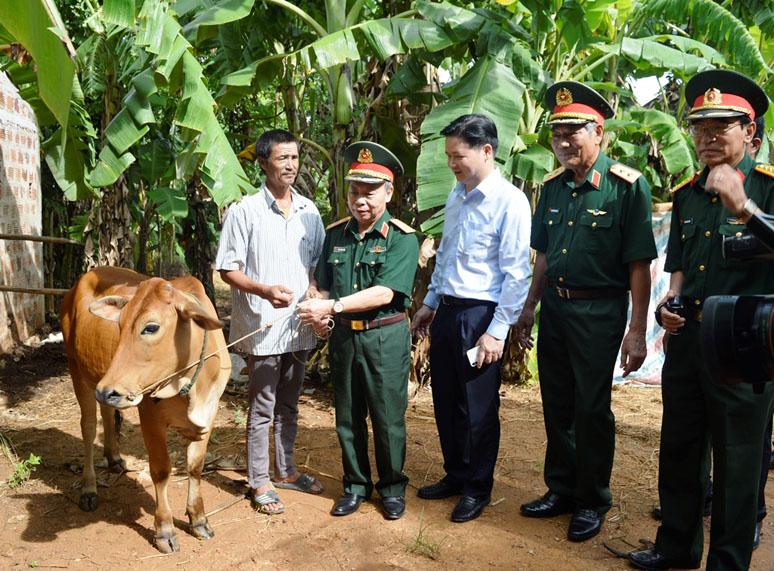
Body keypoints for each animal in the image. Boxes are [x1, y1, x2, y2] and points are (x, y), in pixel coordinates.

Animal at [61, 268, 232, 556]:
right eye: (120, 325)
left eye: (150, 327)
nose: (107, 390)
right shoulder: (150, 417)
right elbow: (161, 471)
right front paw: (164, 530)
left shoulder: (210, 411)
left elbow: (195, 466)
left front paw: (198, 520)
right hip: (79, 371)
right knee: (88, 428)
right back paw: (88, 489)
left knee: (107, 414)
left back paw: (114, 458)